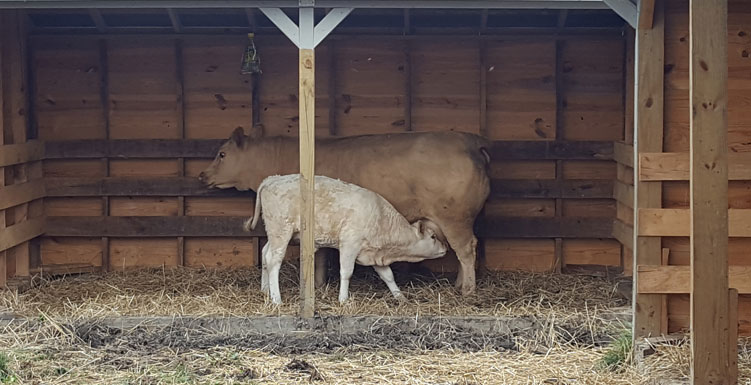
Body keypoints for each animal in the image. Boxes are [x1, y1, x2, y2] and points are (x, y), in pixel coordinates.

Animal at [245, 174, 446, 304]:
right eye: (433, 236)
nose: (445, 247)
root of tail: (272, 179)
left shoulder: (374, 252)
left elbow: (388, 275)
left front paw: (400, 296)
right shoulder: (350, 243)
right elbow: (346, 272)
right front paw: (343, 299)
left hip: (274, 232)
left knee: (265, 253)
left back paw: (265, 290)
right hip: (281, 230)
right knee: (274, 259)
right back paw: (276, 299)